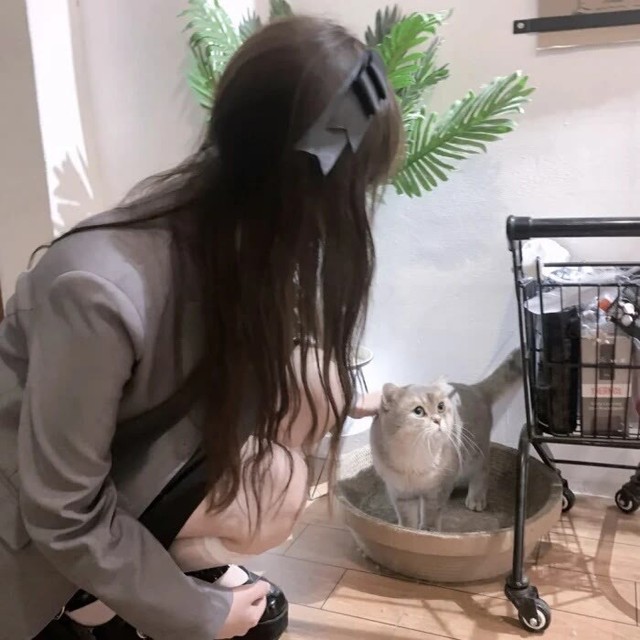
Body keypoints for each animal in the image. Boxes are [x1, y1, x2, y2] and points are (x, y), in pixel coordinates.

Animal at [370, 350, 521, 531]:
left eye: (440, 407)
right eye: (418, 411)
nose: (437, 419)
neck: (415, 455)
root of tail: (475, 389)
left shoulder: (436, 490)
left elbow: (431, 514)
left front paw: (428, 531)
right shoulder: (400, 493)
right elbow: (407, 518)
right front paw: (405, 530)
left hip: (473, 454)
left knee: (483, 471)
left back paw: (476, 498)